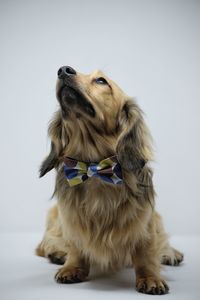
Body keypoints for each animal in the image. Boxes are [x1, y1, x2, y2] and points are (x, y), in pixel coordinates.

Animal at [36, 66, 184, 296]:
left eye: (101, 81)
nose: (63, 70)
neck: (94, 167)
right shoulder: (71, 219)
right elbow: (76, 245)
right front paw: (72, 267)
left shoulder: (145, 222)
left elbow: (146, 252)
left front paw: (150, 278)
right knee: (47, 242)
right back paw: (58, 253)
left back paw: (171, 253)